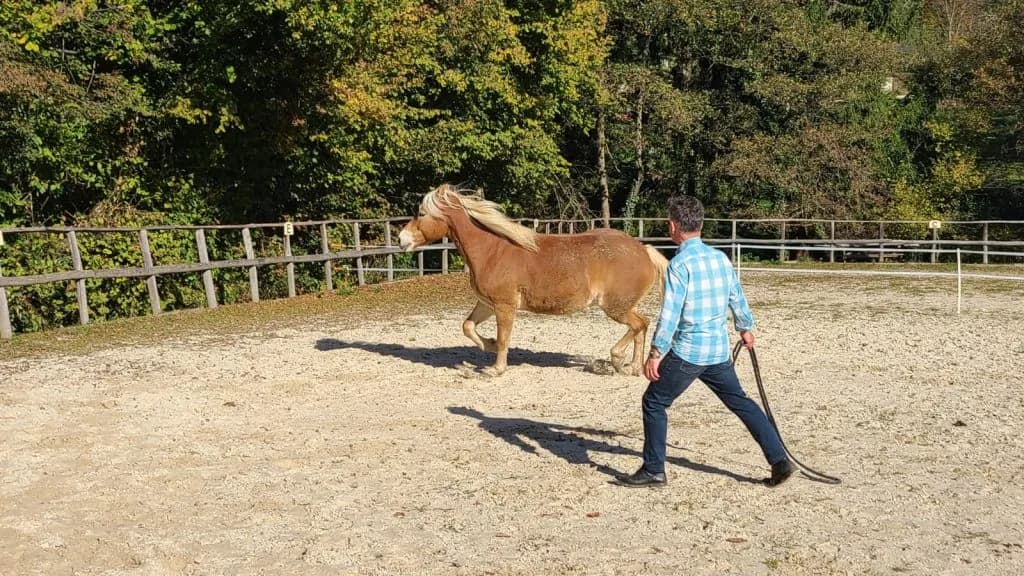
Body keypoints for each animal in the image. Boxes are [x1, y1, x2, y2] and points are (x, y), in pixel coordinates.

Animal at [398, 184, 668, 376]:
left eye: (421, 213)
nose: (401, 239)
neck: (492, 251)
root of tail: (644, 250)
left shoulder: (505, 306)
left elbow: (504, 337)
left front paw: (495, 369)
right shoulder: (487, 304)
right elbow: (468, 327)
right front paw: (490, 344)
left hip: (615, 306)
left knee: (640, 325)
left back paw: (617, 360)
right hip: (623, 306)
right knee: (642, 327)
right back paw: (633, 367)